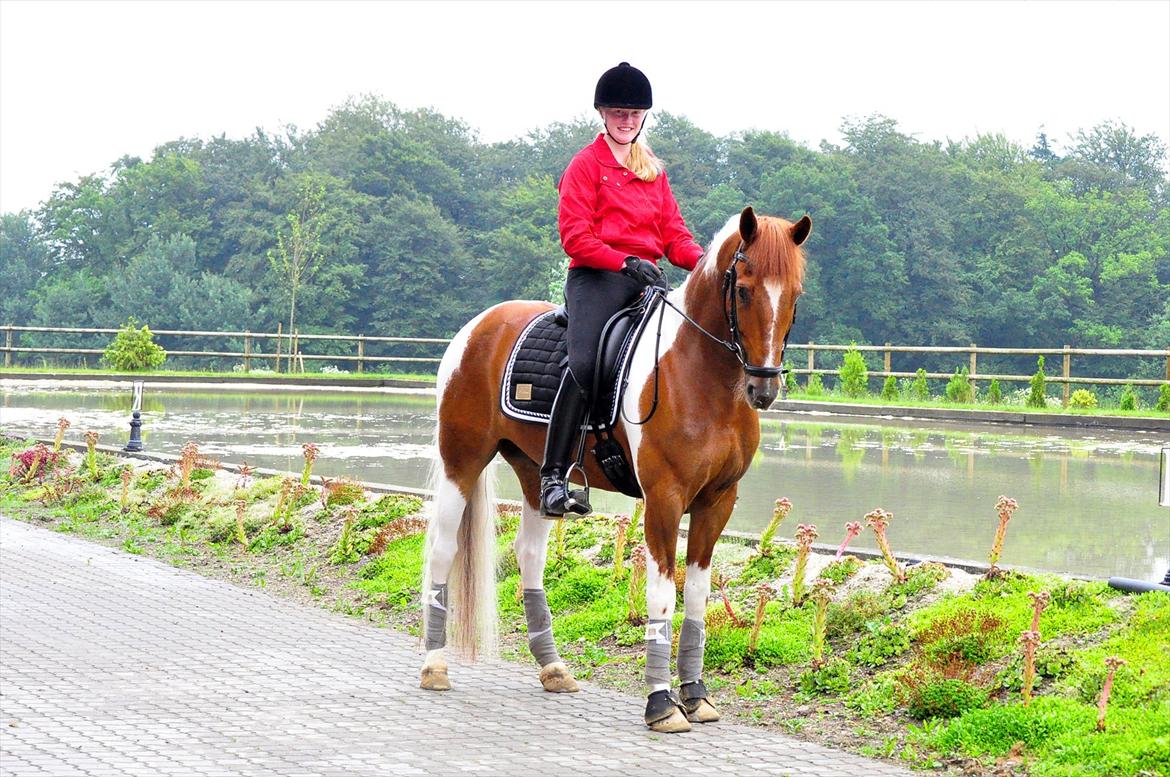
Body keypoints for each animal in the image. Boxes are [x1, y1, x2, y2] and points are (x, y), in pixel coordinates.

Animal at [419, 206, 810, 733]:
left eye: (795, 293)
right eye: (744, 289)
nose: (763, 388)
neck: (702, 375)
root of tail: (479, 325)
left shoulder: (717, 502)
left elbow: (697, 598)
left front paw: (696, 695)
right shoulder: (664, 499)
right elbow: (662, 595)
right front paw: (662, 704)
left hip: (534, 472)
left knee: (530, 555)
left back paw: (552, 667)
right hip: (461, 461)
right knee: (443, 549)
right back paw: (434, 665)